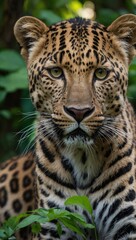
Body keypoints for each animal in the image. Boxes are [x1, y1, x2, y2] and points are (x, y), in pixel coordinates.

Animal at [0, 13, 136, 240]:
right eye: (55, 72)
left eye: (100, 74)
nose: (78, 112)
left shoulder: (128, 224)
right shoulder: (51, 222)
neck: (83, 160)